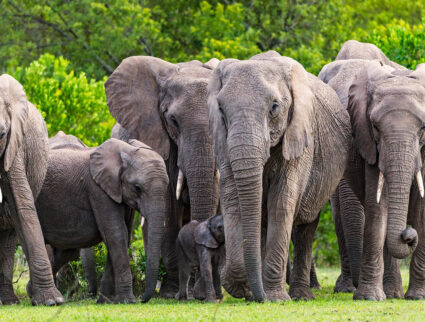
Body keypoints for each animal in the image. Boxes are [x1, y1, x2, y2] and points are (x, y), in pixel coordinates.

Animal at [0, 74, 63, 306]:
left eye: (1, 134)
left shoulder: (14, 147)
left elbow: (23, 207)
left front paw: (52, 302)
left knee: (8, 235)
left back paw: (8, 301)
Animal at [30, 134, 169, 304]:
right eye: (137, 187)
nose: (143, 299)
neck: (125, 151)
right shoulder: (98, 190)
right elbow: (116, 234)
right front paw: (128, 301)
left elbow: (123, 235)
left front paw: (106, 301)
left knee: (67, 251)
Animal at [206, 51, 352, 300]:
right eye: (221, 109)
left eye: (274, 107)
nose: (258, 297)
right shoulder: (222, 140)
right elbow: (233, 201)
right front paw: (244, 289)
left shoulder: (301, 136)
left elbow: (281, 203)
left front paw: (274, 298)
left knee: (305, 227)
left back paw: (301, 295)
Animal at [318, 54, 425, 300]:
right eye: (375, 126)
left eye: (423, 128)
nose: (407, 234)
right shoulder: (369, 143)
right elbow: (378, 207)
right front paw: (369, 297)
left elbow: (423, 208)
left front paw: (418, 296)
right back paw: (391, 293)